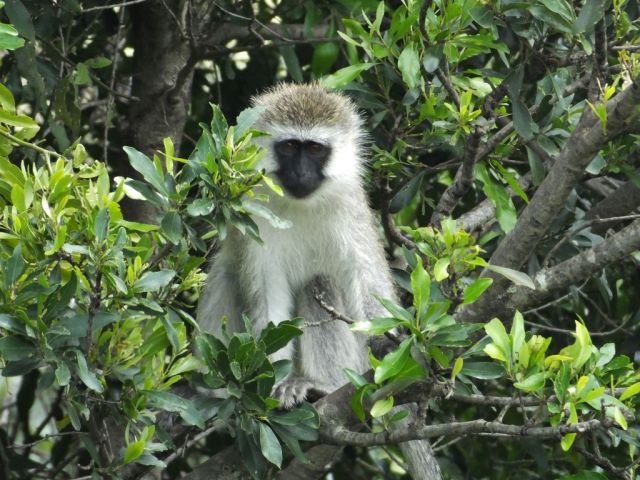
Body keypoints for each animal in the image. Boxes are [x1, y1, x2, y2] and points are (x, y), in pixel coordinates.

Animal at [197, 83, 441, 479]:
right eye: (289, 147)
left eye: (314, 149)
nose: (299, 173)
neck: (301, 204)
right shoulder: (255, 215)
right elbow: (268, 298)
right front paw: (271, 386)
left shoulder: (351, 209)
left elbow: (368, 284)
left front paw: (389, 343)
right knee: (228, 274)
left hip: (354, 361)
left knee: (320, 283)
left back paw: (322, 387)